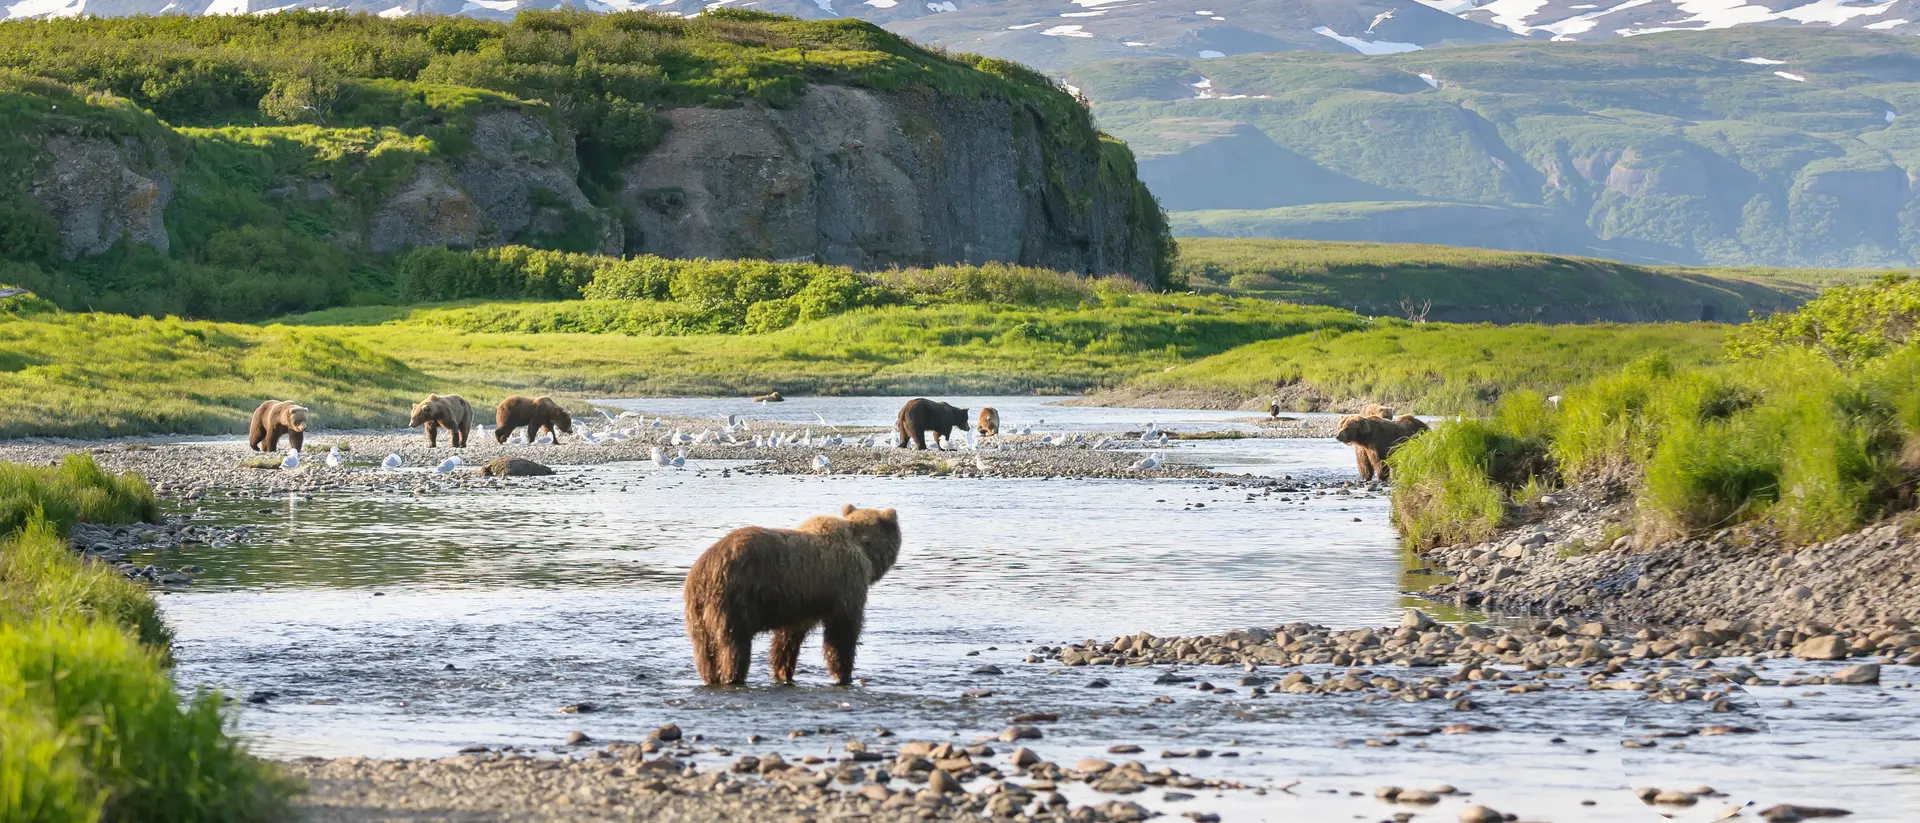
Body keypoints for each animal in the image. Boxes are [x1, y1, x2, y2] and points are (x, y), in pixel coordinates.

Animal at [683, 505, 902, 686]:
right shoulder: (845, 584)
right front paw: (844, 675)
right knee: (733, 646)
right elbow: (842, 632)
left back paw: (710, 677)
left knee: (704, 651)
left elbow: (787, 640)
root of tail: (704, 570)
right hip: (734, 599)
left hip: (697, 612)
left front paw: (783, 673)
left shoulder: (802, 603)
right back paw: (733, 676)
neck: (864, 549)